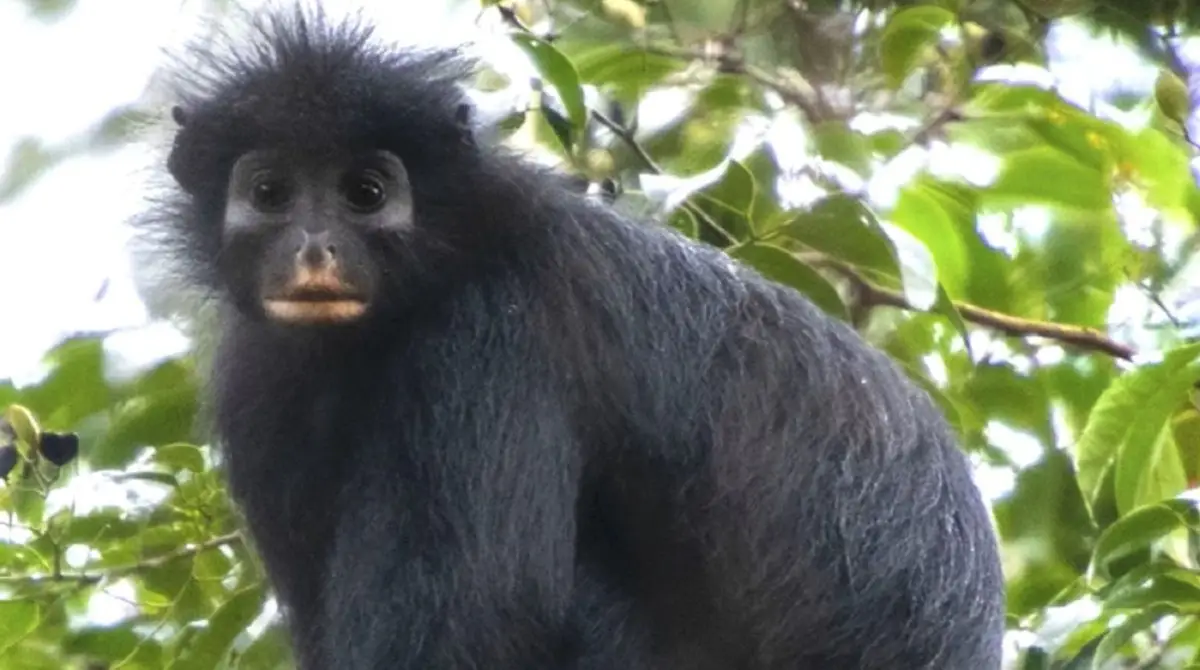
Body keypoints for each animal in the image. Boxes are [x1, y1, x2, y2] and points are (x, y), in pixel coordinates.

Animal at [137, 6, 1006, 669]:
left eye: (366, 193)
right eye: (271, 192)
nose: (315, 248)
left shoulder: (488, 337)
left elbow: (483, 619)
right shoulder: (259, 383)